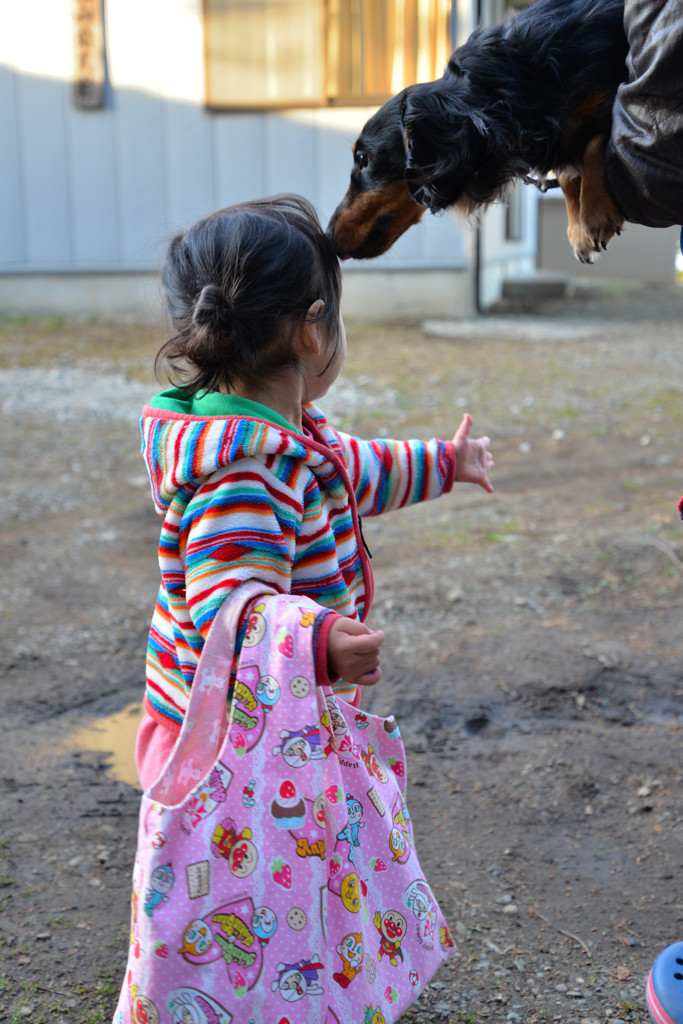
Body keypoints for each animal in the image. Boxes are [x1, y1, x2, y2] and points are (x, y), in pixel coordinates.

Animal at [325, 0, 630, 264]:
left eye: (363, 160)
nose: (327, 236)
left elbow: (596, 140)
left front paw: (594, 214)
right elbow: (567, 172)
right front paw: (579, 231)